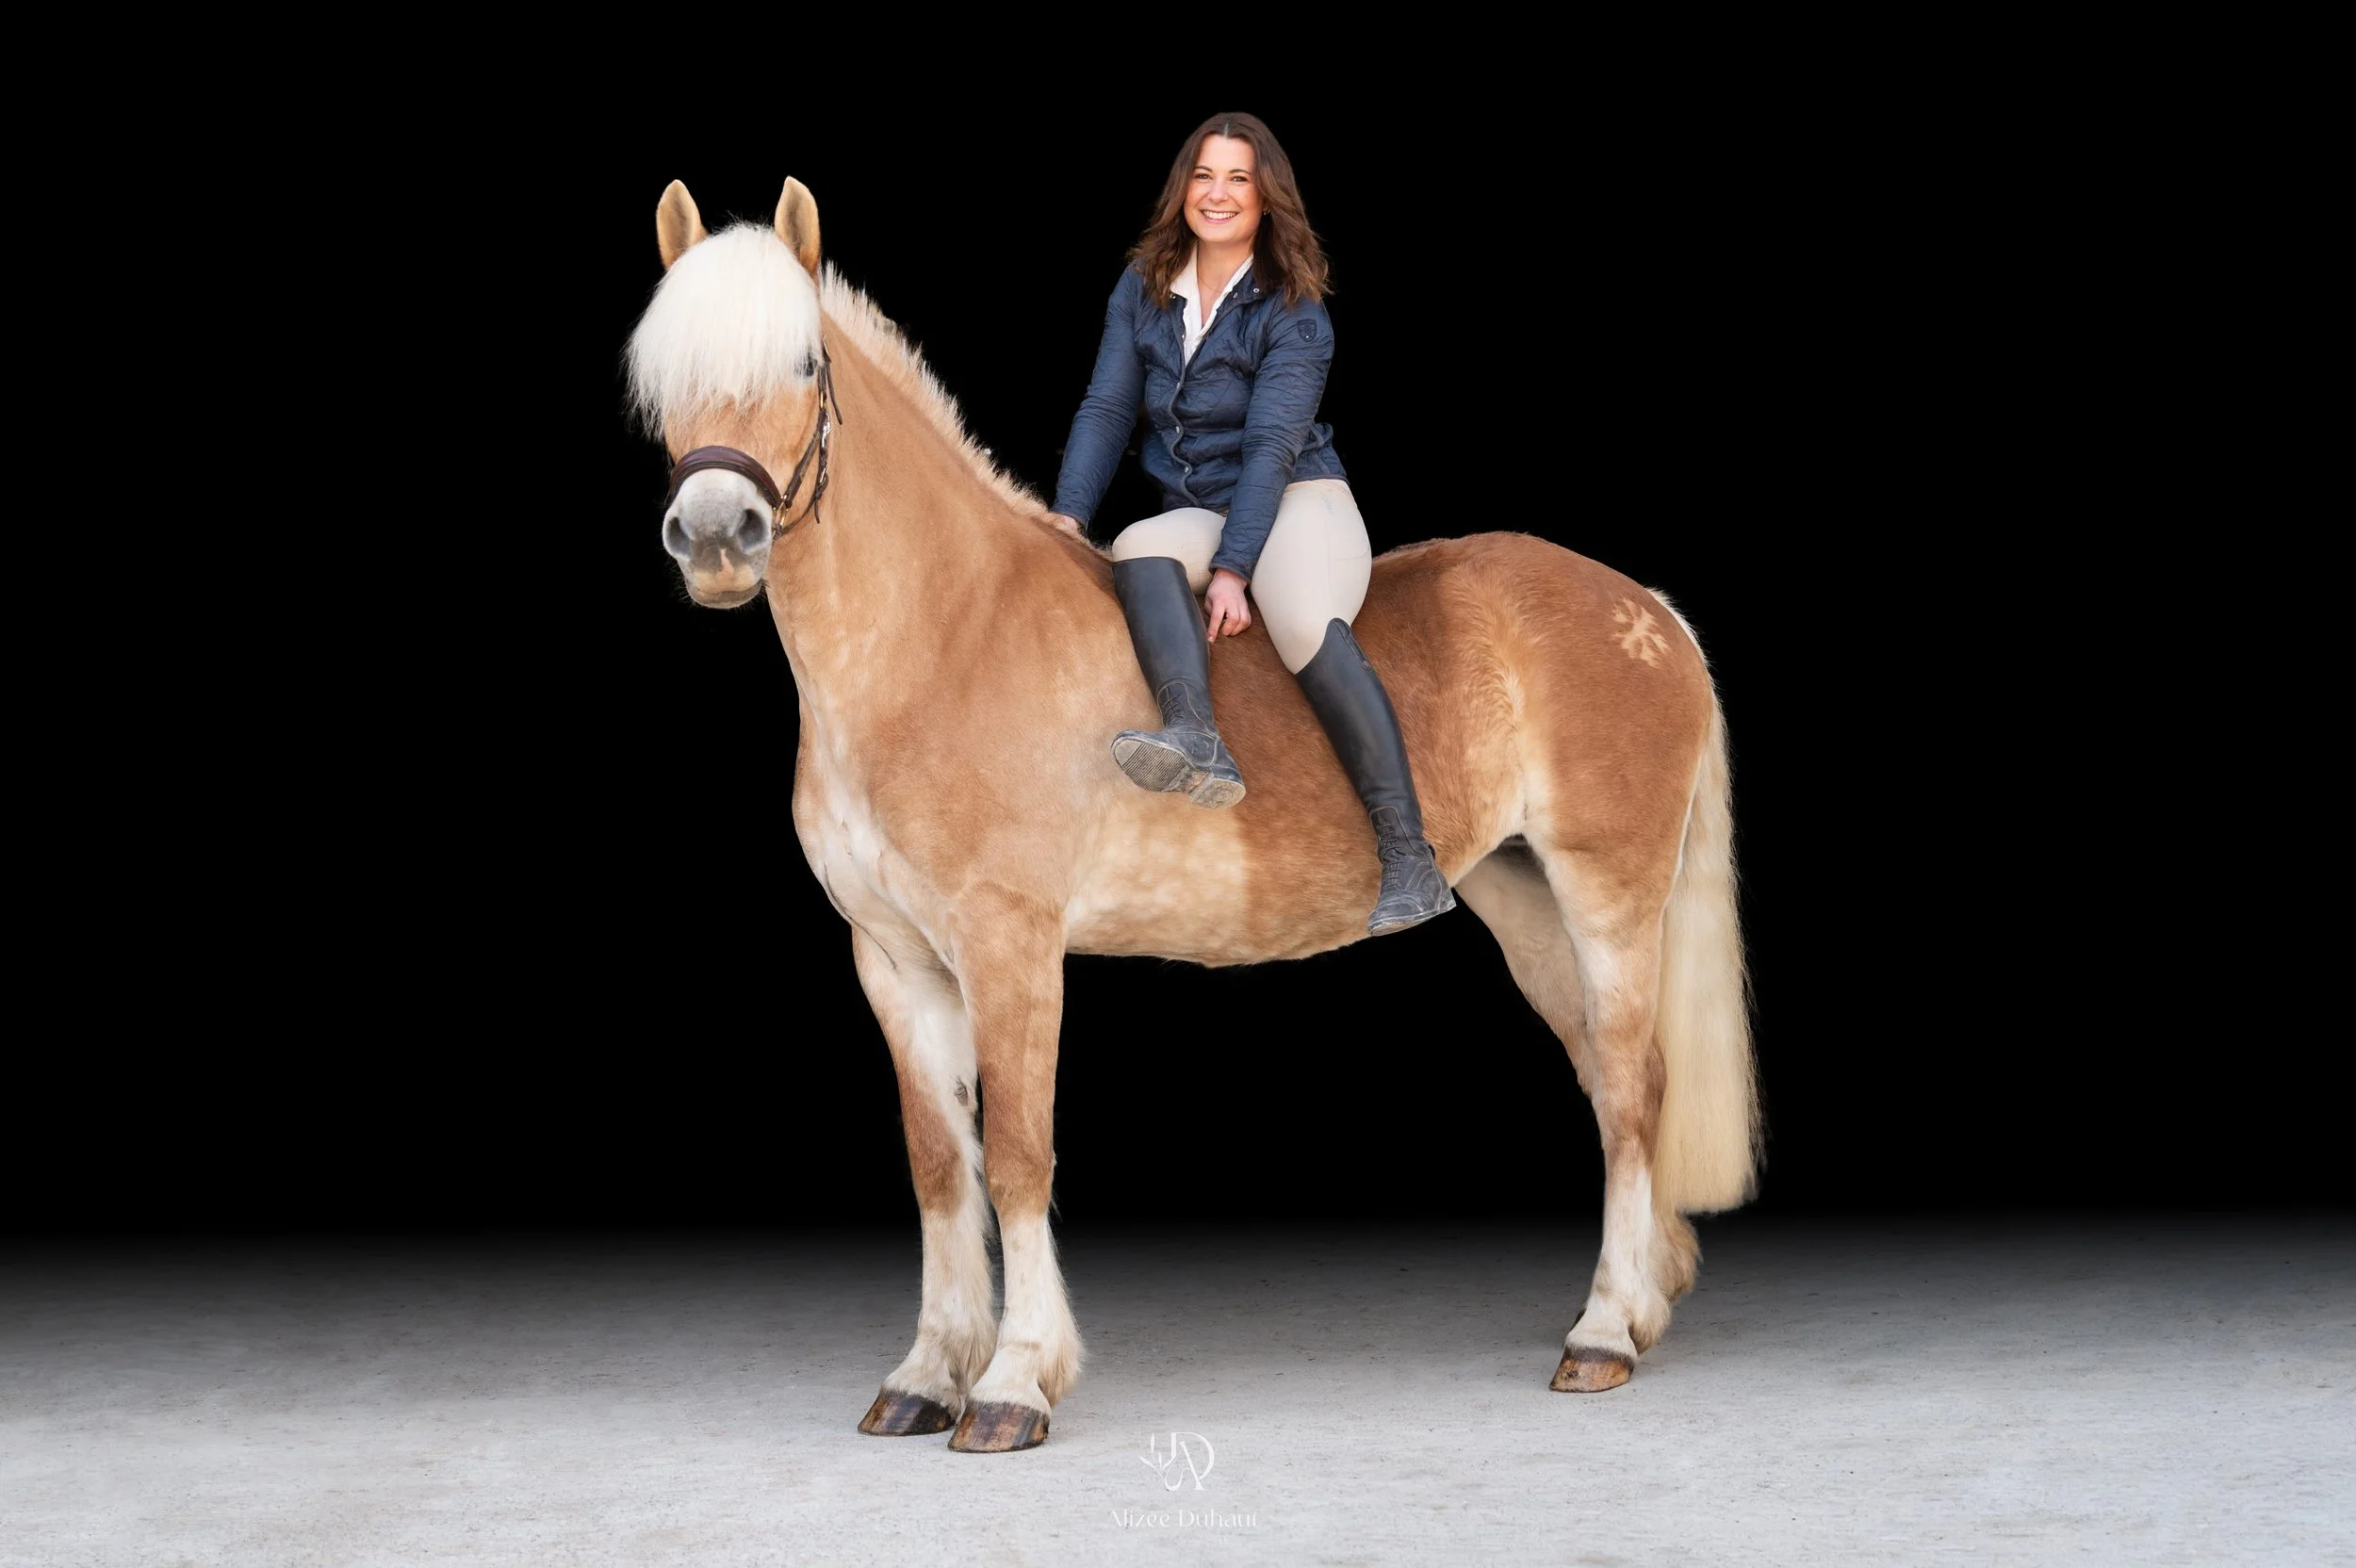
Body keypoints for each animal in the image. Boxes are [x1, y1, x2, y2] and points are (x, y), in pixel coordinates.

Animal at [628, 178, 1759, 1453]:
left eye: (806, 362)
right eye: (663, 377)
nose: (715, 536)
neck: (940, 635)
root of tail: (1646, 607)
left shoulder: (1010, 947)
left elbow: (1016, 1156)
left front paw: (1013, 1381)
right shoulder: (895, 959)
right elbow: (939, 1168)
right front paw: (926, 1373)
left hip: (1606, 892)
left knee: (1632, 1083)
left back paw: (1605, 1330)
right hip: (1522, 900)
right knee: (1609, 1082)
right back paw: (1643, 1298)